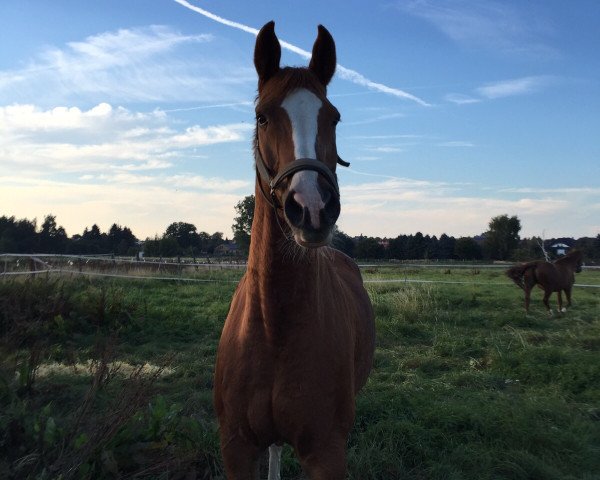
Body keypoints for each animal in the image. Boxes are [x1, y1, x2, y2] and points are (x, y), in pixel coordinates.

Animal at [213, 22, 376, 480]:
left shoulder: (326, 451)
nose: (312, 208)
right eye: (262, 116)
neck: (274, 325)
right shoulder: (236, 448)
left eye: (333, 117)